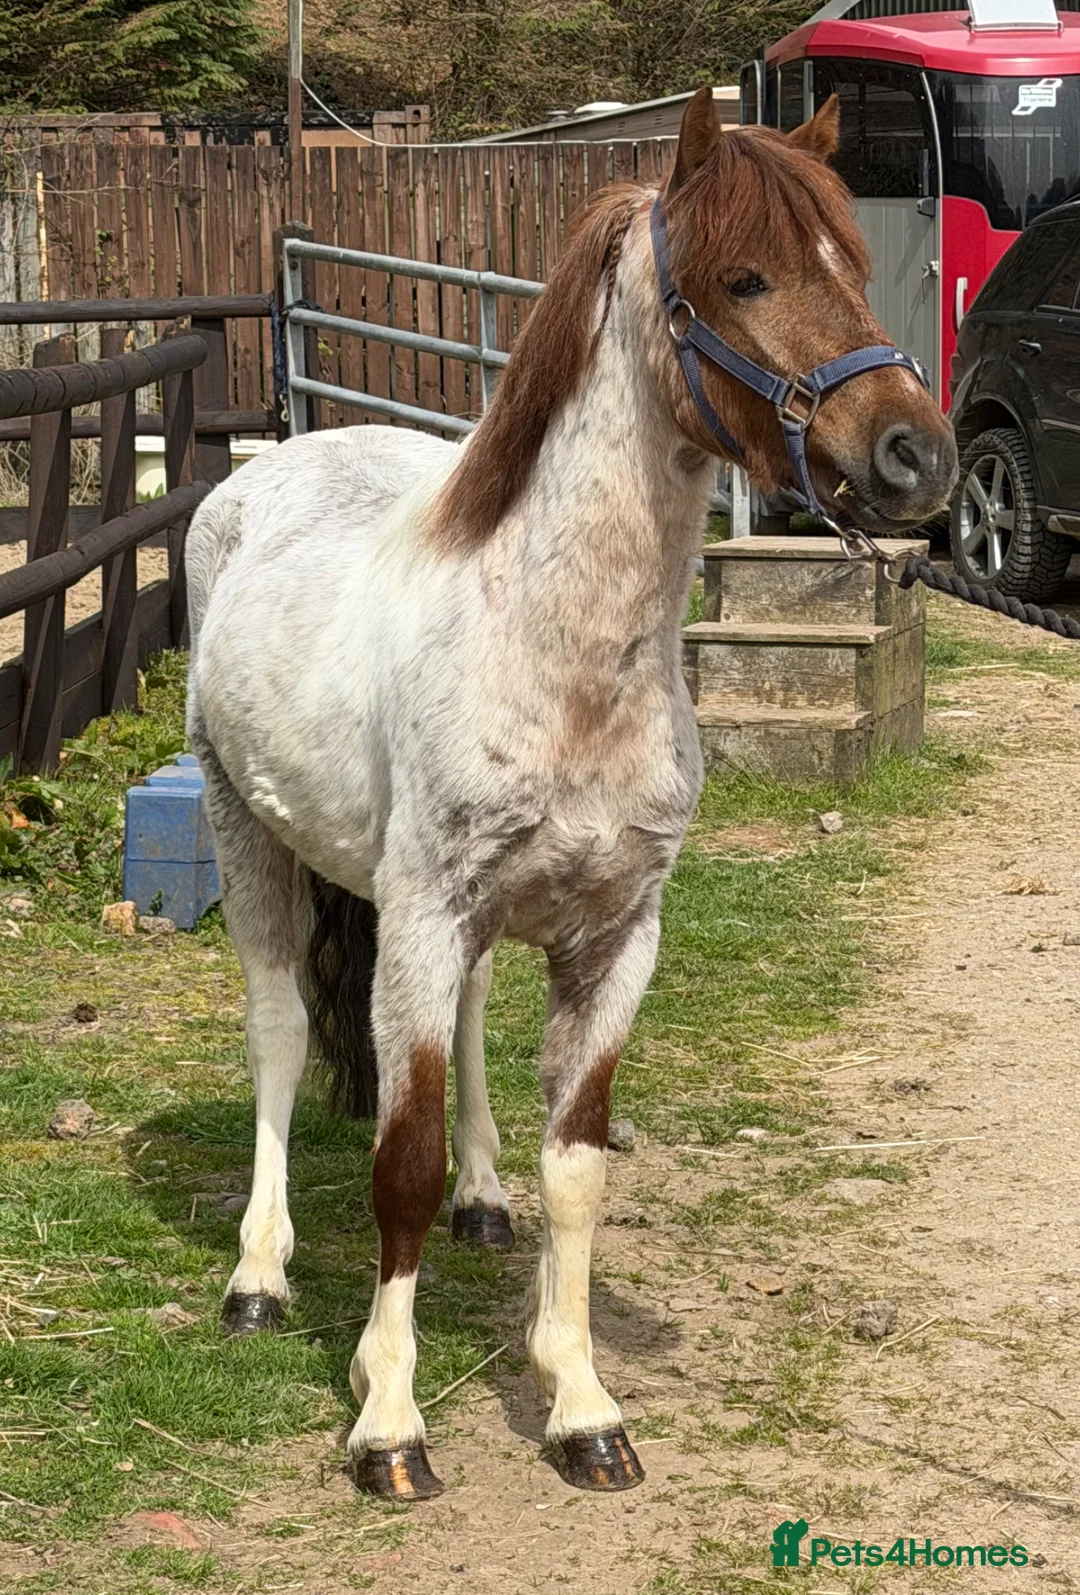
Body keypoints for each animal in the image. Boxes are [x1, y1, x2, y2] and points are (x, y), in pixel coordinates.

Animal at [184, 86, 957, 1501]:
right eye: (744, 275)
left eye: (857, 269)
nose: (913, 458)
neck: (561, 654)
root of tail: (265, 470)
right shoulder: (421, 919)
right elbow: (398, 1161)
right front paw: (389, 1422)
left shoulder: (612, 936)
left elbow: (578, 1169)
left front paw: (582, 1402)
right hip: (246, 832)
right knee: (277, 1031)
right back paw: (258, 1277)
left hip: (465, 924)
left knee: (473, 1031)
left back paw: (484, 1201)